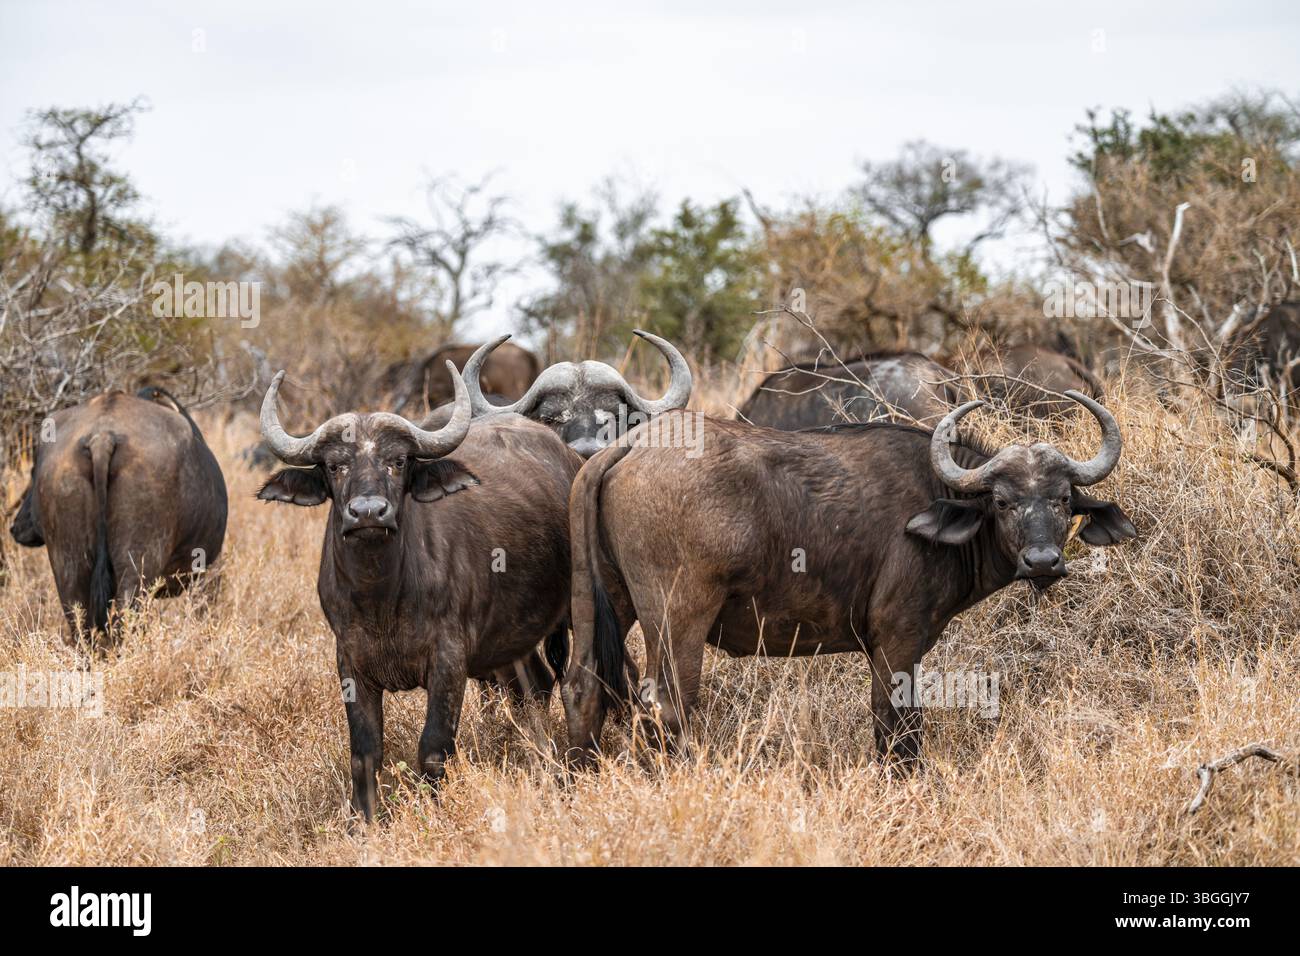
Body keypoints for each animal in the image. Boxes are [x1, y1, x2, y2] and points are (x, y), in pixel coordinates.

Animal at [9, 387, 227, 644]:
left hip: (68, 564)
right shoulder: (207, 572)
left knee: (79, 623)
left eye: (33, 473)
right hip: (138, 565)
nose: (16, 526)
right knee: (125, 618)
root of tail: (102, 436)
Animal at [256, 363, 581, 821]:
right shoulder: (350, 662)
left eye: (398, 461)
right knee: (534, 687)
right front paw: (364, 821)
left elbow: (433, 748)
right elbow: (365, 753)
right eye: (335, 466)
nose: (368, 512)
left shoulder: (448, 661)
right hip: (509, 640)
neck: (382, 599)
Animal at [562, 391, 1136, 766]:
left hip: (599, 602)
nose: (1042, 561)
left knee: (582, 687)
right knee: (667, 703)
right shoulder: (897, 640)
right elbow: (898, 722)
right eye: (1001, 501)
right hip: (677, 618)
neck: (937, 495)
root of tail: (631, 445)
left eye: (1063, 499)